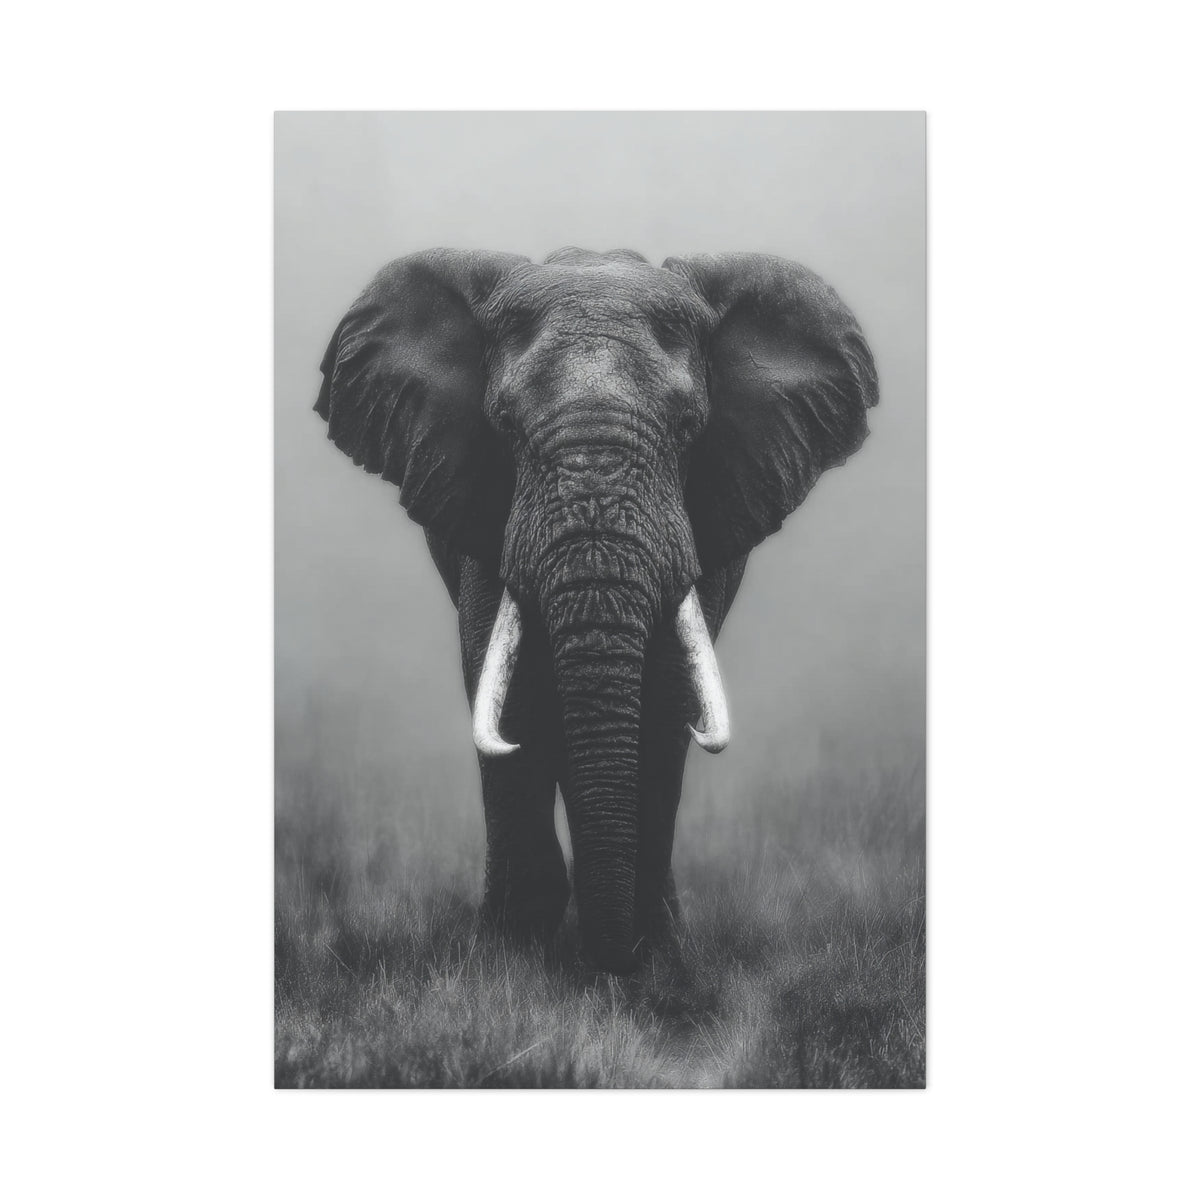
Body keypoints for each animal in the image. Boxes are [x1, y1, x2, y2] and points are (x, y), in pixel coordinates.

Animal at [315, 247, 878, 973]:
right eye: (504, 425)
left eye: (689, 429)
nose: (607, 963)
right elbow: (511, 693)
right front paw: (512, 954)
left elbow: (667, 701)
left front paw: (653, 957)